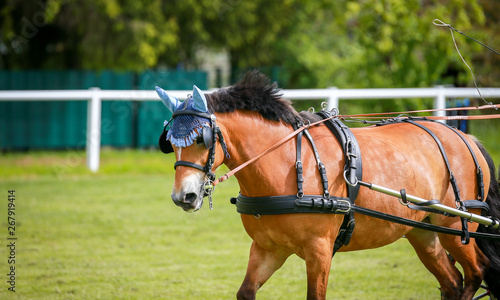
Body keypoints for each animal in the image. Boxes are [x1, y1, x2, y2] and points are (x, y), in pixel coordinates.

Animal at [156, 71, 500, 298]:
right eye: (170, 142)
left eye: (201, 139)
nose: (183, 196)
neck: (285, 165)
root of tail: (464, 136)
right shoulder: (268, 249)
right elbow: (246, 292)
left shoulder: (319, 250)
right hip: (423, 231)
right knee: (452, 282)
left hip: (455, 225)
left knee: (476, 272)